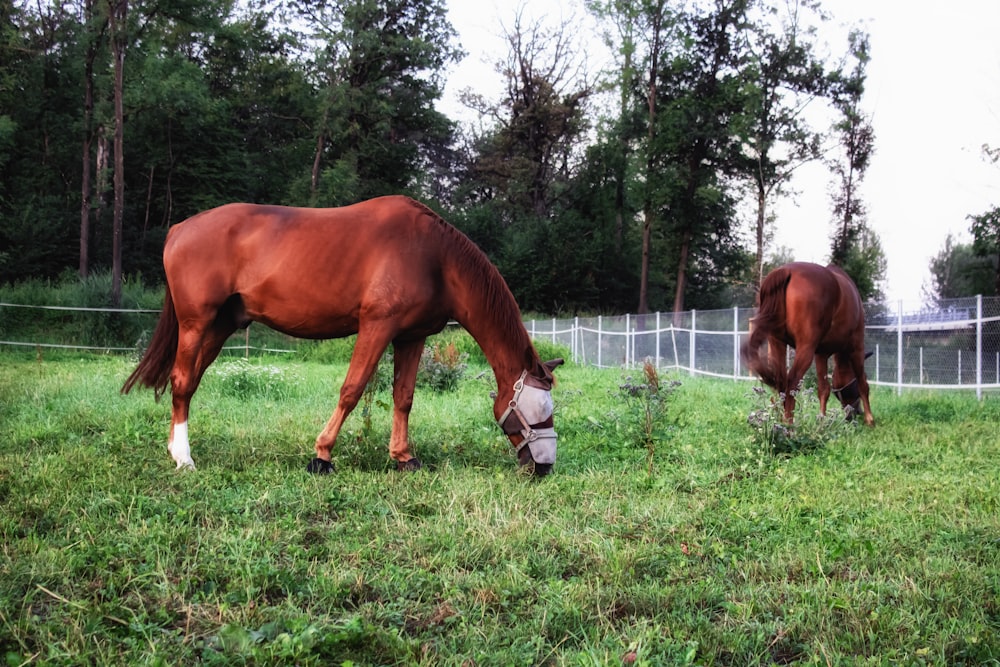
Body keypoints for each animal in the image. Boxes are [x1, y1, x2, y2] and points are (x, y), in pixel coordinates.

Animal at [119, 196, 564, 478]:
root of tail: (180, 228)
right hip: (196, 324)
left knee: (189, 383)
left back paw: (176, 450)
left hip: (220, 326)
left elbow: (404, 397)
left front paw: (404, 458)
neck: (434, 257)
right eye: (542, 410)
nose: (544, 467)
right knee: (181, 381)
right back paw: (184, 458)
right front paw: (322, 456)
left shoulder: (411, 336)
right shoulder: (377, 326)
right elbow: (352, 390)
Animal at [740, 262, 872, 426]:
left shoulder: (821, 354)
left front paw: (821, 422)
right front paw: (870, 419)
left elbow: (824, 389)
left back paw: (779, 420)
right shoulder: (857, 347)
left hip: (777, 343)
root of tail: (785, 270)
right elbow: (862, 383)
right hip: (805, 348)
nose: (855, 413)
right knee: (792, 382)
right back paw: (788, 425)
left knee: (780, 381)